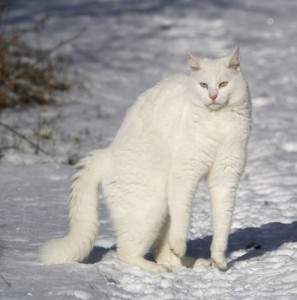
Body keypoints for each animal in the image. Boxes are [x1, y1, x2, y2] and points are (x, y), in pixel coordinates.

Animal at [39, 46, 251, 272]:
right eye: (203, 84)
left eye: (223, 84)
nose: (212, 96)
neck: (218, 124)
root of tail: (105, 155)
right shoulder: (184, 172)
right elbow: (183, 216)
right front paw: (181, 244)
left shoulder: (225, 175)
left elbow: (222, 222)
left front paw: (219, 260)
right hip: (150, 209)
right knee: (127, 253)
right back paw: (156, 267)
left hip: (162, 210)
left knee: (162, 253)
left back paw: (190, 263)